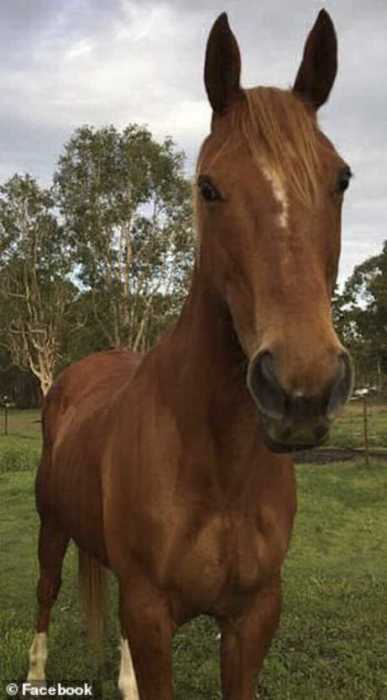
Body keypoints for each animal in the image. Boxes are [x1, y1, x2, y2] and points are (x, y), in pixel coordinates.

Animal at [26, 10, 354, 700]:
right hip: (51, 525)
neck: (219, 463)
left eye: (341, 179)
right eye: (208, 187)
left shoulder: (252, 618)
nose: (302, 387)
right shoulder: (152, 612)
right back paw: (34, 673)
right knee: (45, 589)